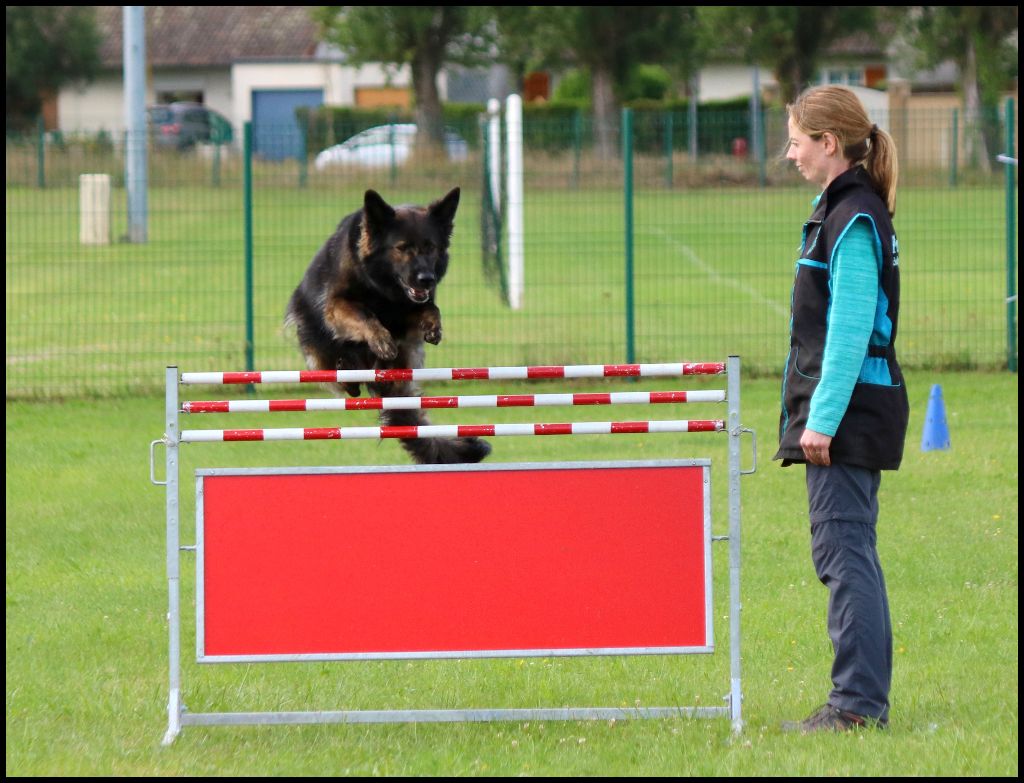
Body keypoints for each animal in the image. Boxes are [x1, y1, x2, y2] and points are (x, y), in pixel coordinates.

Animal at [284, 185, 491, 464]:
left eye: (431, 247)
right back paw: (347, 370)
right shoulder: (337, 304)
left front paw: (433, 326)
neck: (383, 288)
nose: (426, 278)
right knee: (344, 379)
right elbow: (365, 316)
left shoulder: (410, 309)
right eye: (402, 248)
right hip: (317, 341)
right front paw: (381, 340)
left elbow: (430, 308)